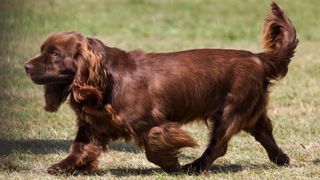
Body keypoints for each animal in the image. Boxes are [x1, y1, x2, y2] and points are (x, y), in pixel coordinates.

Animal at [24, 2, 298, 174]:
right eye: (43, 50)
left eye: (54, 54)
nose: (26, 66)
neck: (105, 81)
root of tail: (258, 57)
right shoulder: (93, 125)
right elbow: (79, 148)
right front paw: (63, 167)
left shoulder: (151, 123)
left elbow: (154, 149)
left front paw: (172, 165)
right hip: (249, 110)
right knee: (264, 132)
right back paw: (281, 159)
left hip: (231, 111)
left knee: (219, 145)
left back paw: (195, 167)